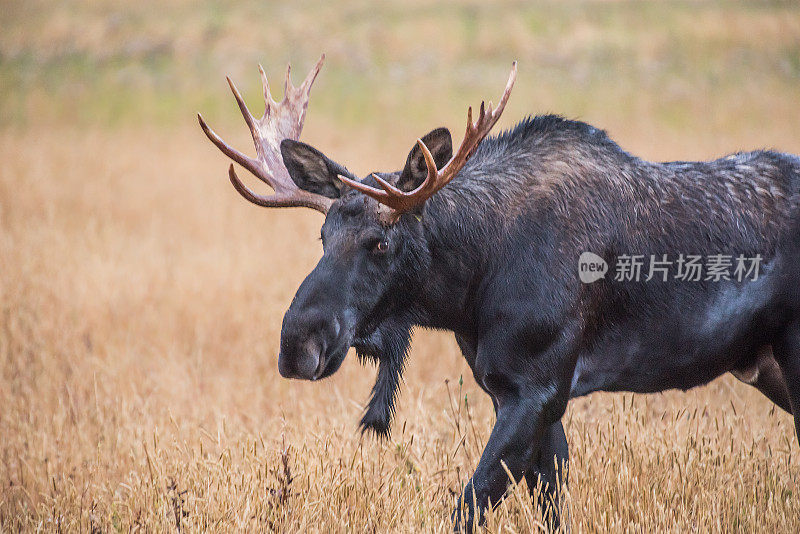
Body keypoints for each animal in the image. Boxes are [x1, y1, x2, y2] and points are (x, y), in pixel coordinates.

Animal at [197, 56, 796, 528]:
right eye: (322, 235)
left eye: (380, 242)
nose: (299, 343)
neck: (468, 289)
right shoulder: (517, 392)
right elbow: (550, 503)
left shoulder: (537, 388)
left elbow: (469, 504)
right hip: (765, 364)